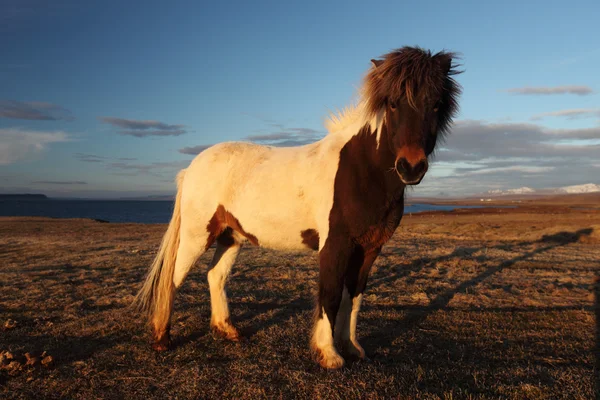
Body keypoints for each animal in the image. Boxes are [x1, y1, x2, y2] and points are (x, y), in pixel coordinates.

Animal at [136, 46, 462, 368]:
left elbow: (353, 297)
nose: (411, 167)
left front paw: (352, 348)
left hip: (231, 236)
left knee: (215, 276)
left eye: (436, 104)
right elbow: (330, 295)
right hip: (197, 235)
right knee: (171, 279)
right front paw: (328, 354)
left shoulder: (370, 248)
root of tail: (191, 168)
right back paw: (162, 339)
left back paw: (227, 330)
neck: (360, 168)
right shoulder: (335, 245)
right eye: (393, 104)